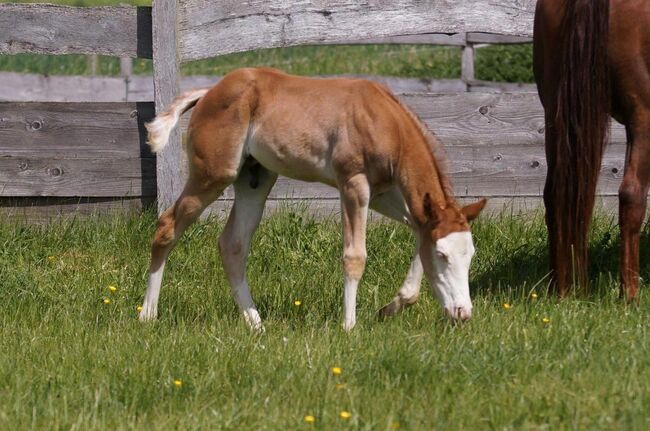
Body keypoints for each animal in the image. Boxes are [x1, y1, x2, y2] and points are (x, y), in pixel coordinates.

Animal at [137, 68, 484, 330]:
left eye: (470, 255)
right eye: (442, 256)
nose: (463, 313)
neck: (384, 121)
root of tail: (210, 91)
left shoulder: (383, 194)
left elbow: (418, 229)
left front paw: (393, 305)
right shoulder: (353, 185)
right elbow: (354, 256)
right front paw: (349, 326)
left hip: (254, 180)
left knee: (232, 245)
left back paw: (256, 324)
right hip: (214, 175)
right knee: (167, 226)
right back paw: (148, 315)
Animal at [536, 0, 644, 298]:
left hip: (556, 114)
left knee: (557, 195)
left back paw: (564, 289)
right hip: (645, 117)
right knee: (631, 194)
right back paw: (630, 296)